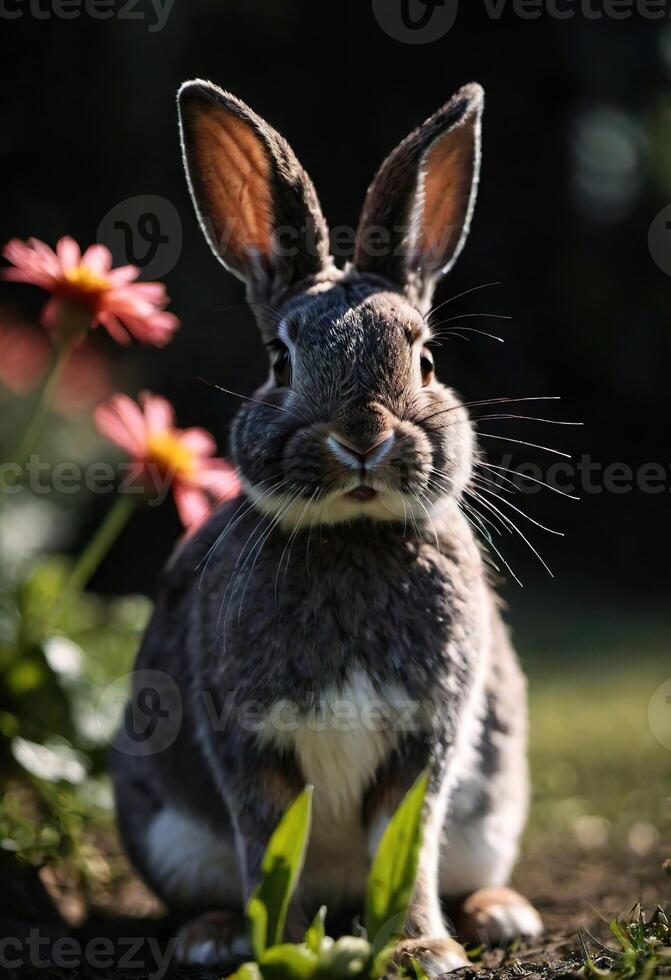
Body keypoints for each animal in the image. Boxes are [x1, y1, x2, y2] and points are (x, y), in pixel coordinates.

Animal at [109, 80, 540, 976]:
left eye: (425, 360)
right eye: (280, 362)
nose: (363, 438)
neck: (351, 533)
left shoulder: (426, 740)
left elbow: (406, 848)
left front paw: (418, 947)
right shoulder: (250, 742)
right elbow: (271, 845)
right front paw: (276, 942)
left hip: (493, 814)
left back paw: (499, 915)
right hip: (167, 835)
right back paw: (213, 936)